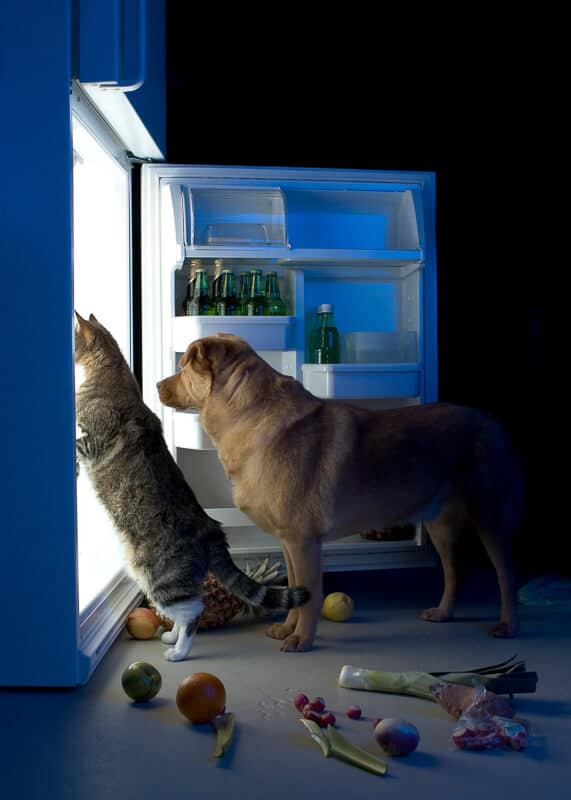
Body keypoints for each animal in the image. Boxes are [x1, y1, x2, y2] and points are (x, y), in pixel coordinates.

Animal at [73, 312, 310, 664]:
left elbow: (76, 442)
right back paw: (171, 635)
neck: (109, 374)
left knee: (193, 612)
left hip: (159, 577)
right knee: (187, 609)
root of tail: (210, 529)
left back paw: (179, 650)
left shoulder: (94, 440)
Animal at [156, 332, 524, 648]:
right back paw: (445, 612)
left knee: (506, 576)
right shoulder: (289, 543)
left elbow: (311, 596)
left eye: (184, 367)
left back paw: (509, 624)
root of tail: (489, 420)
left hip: (489, 518)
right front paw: (289, 629)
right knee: (454, 573)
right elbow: (296, 591)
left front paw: (302, 640)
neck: (250, 411)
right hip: (440, 527)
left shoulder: (304, 542)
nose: (157, 385)